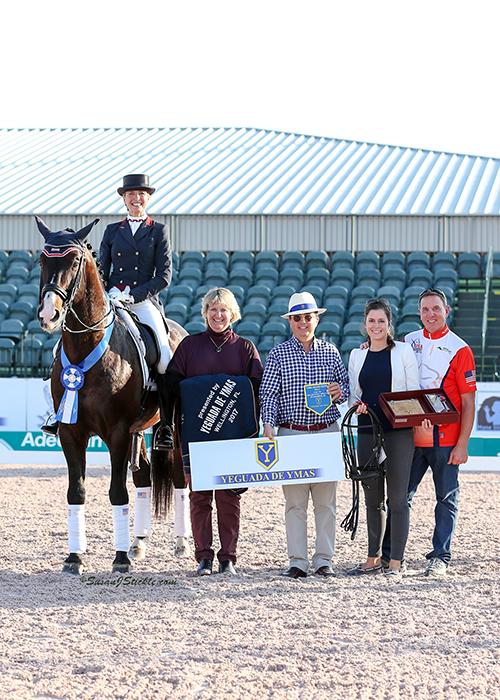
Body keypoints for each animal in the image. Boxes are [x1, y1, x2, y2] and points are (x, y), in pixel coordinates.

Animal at [36, 216, 187, 575]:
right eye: (43, 260)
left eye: (74, 261)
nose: (49, 315)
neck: (86, 346)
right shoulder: (70, 432)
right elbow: (76, 492)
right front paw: (74, 558)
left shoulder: (117, 432)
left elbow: (118, 493)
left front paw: (118, 559)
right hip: (138, 430)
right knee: (144, 475)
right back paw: (138, 544)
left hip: (173, 429)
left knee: (178, 478)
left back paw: (180, 544)